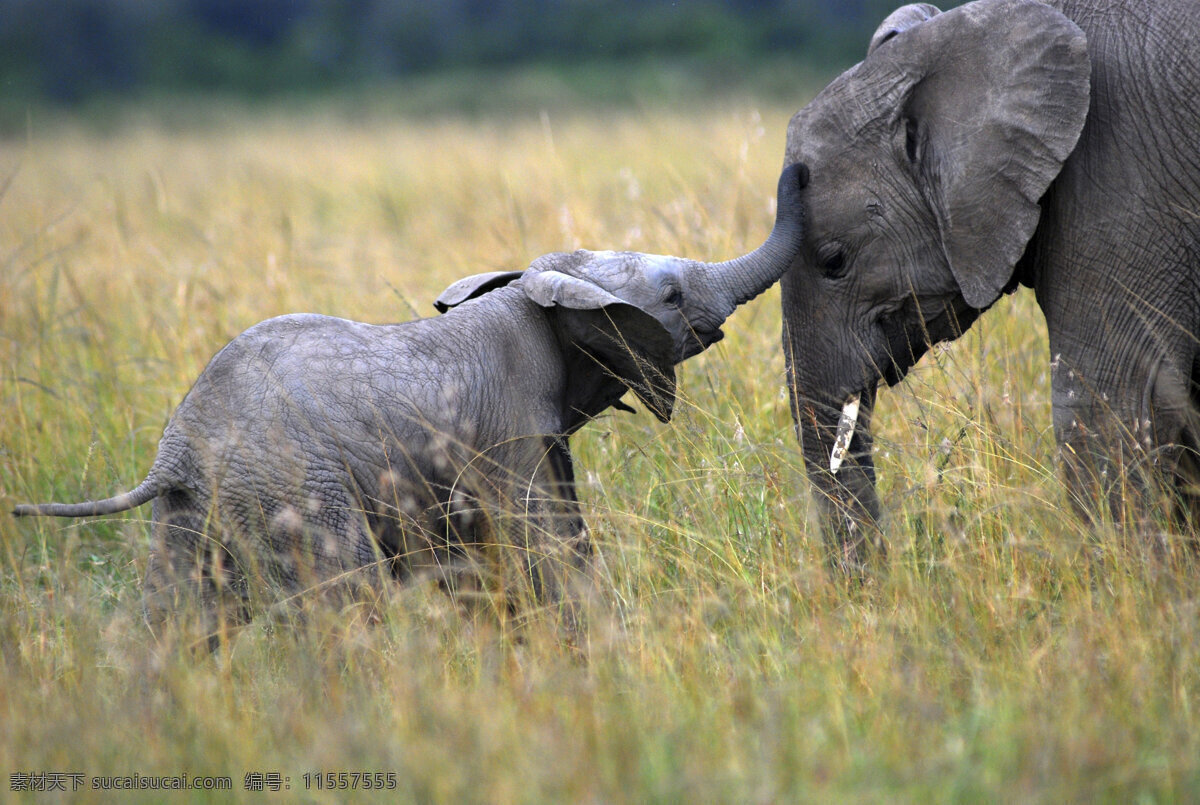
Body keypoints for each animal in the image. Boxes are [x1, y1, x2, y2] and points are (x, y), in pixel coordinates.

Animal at [14, 163, 806, 643]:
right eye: (670, 296)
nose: (797, 171)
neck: (530, 298)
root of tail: (174, 449)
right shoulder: (511, 428)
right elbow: (546, 543)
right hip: (295, 489)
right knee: (348, 604)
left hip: (197, 513)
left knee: (181, 618)